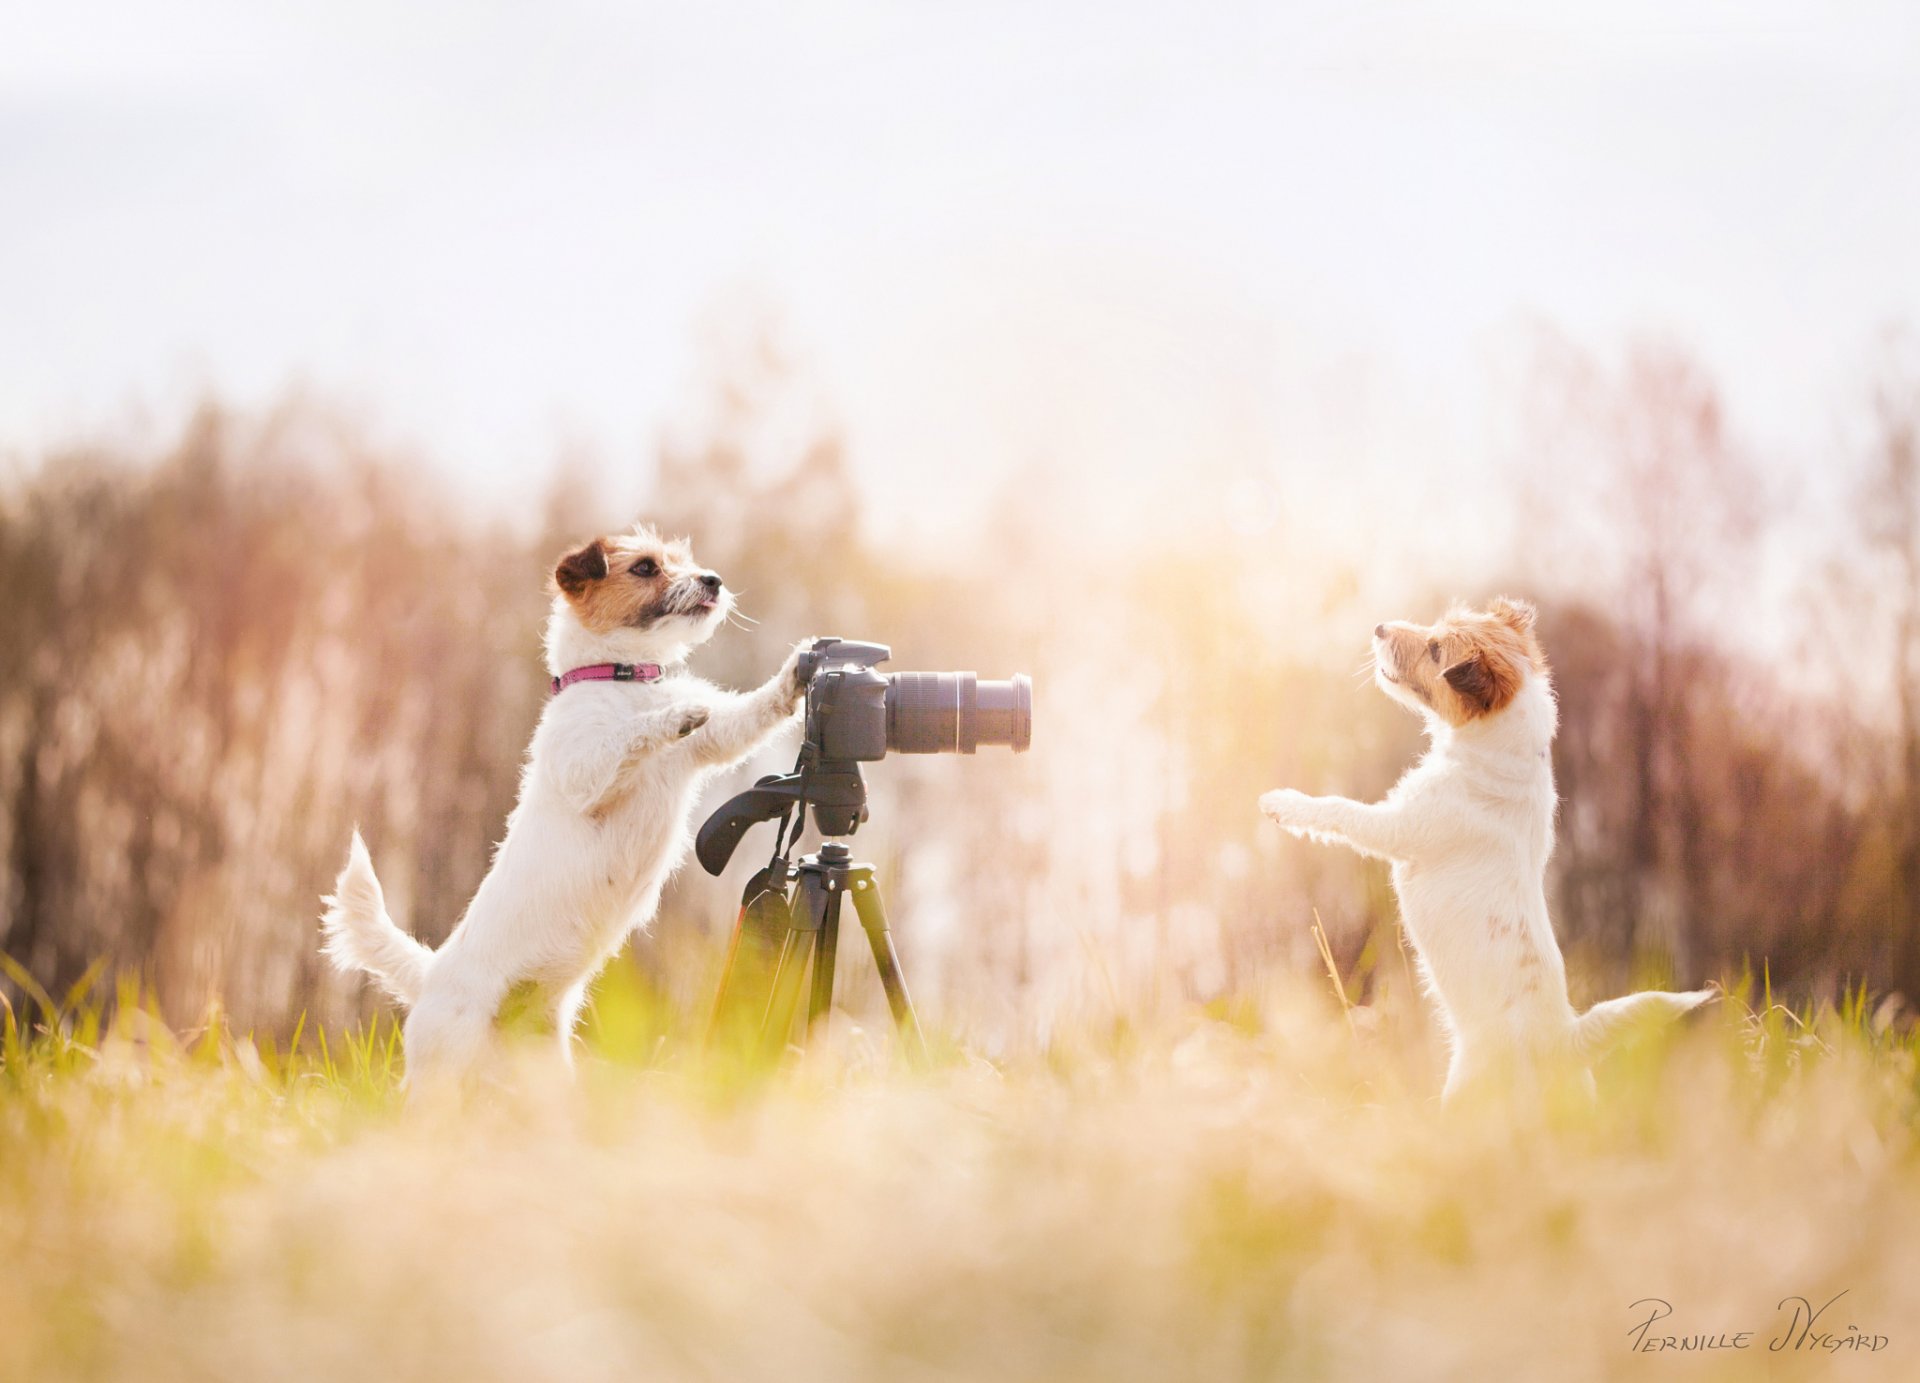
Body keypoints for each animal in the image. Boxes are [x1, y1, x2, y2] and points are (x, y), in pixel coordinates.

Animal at [320, 522, 810, 1098]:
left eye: (683, 561)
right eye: (645, 567)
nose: (713, 579)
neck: (622, 678)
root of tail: (431, 974)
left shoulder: (719, 741)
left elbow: (754, 712)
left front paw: (800, 671)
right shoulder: (585, 773)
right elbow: (629, 736)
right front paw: (673, 715)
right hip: (441, 1076)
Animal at [1259, 595, 1712, 1098]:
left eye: (1435, 650)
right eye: (1434, 629)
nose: (1379, 627)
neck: (1497, 750)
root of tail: (1563, 1043)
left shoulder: (1395, 829)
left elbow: (1339, 811)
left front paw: (1282, 802)